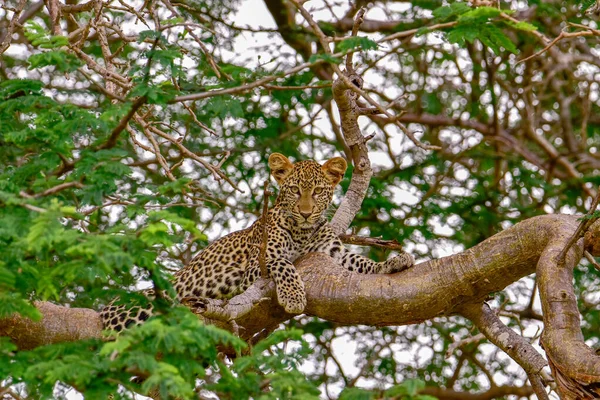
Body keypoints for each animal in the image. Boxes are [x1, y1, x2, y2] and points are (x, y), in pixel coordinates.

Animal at [101, 153, 414, 332]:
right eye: (294, 190)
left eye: (318, 191)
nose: (305, 212)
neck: (303, 232)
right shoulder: (258, 264)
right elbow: (285, 264)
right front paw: (293, 296)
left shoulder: (333, 253)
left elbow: (362, 262)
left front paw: (396, 261)